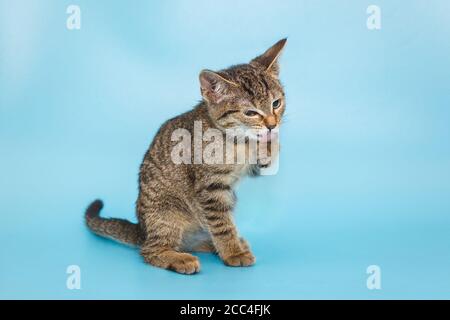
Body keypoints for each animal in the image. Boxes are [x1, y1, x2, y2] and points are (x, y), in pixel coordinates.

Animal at [86, 38, 286, 274]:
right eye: (250, 112)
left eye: (276, 103)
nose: (272, 125)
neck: (237, 140)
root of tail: (142, 230)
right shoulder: (210, 187)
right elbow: (221, 224)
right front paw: (233, 252)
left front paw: (270, 143)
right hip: (167, 212)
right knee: (150, 250)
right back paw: (179, 258)